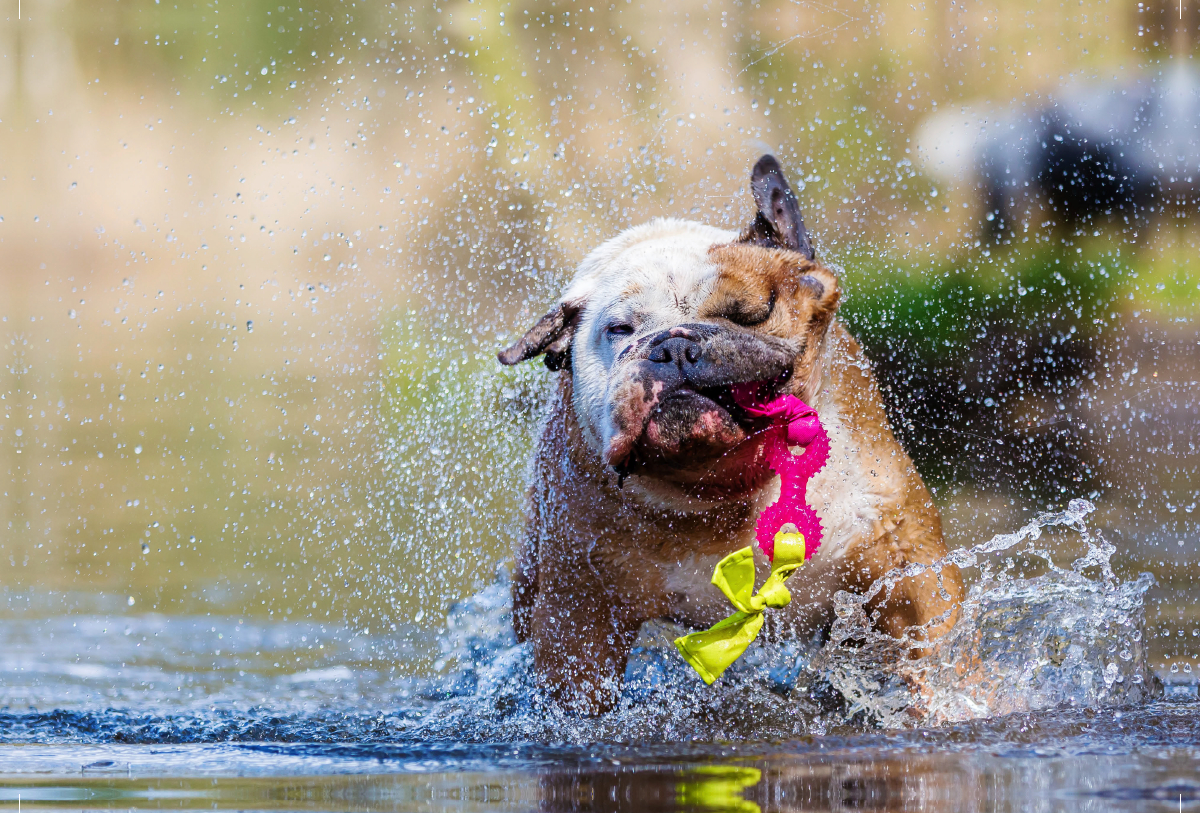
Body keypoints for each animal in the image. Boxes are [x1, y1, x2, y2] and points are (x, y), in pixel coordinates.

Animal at [496, 155, 964, 714]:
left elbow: (935, 654)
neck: (722, 488)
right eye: (620, 330)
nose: (672, 347)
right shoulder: (579, 617)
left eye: (749, 314)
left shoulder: (904, 561)